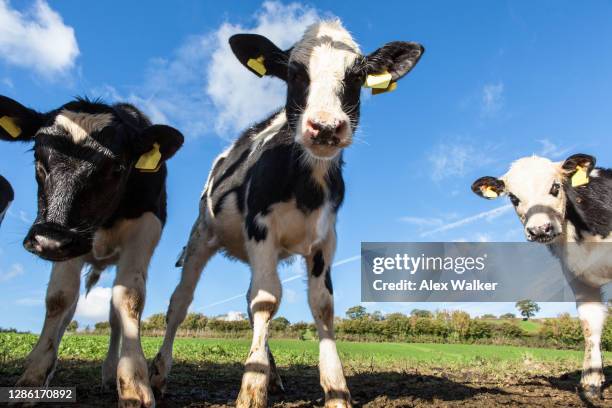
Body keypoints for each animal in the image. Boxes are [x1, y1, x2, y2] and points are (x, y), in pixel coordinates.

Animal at [0, 94, 184, 406]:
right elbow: (59, 298)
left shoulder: (146, 227)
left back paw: (110, 372)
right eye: (37, 156)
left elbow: (129, 298)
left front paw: (134, 383)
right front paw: (34, 377)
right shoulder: (68, 250)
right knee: (69, 309)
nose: (49, 238)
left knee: (113, 318)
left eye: (118, 168)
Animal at [151, 19, 424, 408]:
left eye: (357, 76)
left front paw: (335, 389)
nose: (325, 127)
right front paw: (251, 389)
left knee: (247, 301)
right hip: (202, 234)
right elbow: (267, 300)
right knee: (180, 302)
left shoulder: (325, 238)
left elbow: (320, 305)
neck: (306, 187)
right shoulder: (260, 226)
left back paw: (272, 373)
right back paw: (159, 374)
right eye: (295, 73)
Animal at [476, 153, 608, 398]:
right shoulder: (578, 276)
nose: (539, 230)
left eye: (555, 187)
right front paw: (592, 383)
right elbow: (590, 324)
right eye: (513, 198)